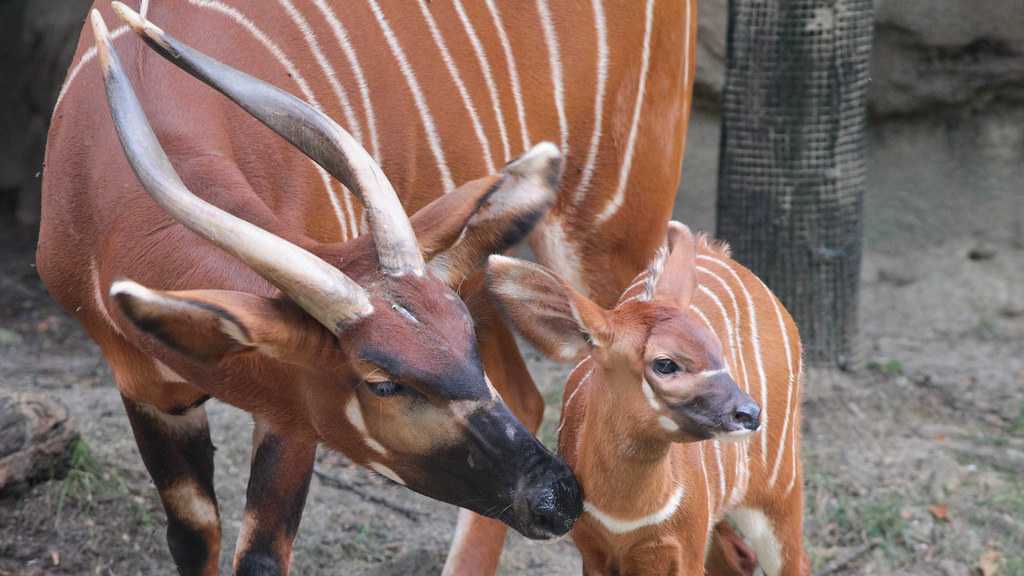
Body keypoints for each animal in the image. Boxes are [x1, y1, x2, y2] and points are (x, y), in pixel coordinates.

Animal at [48, 0, 700, 569]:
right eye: (382, 383)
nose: (558, 496)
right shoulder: (148, 393)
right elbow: (193, 538)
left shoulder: (291, 414)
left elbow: (260, 555)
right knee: (525, 394)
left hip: (615, 235)